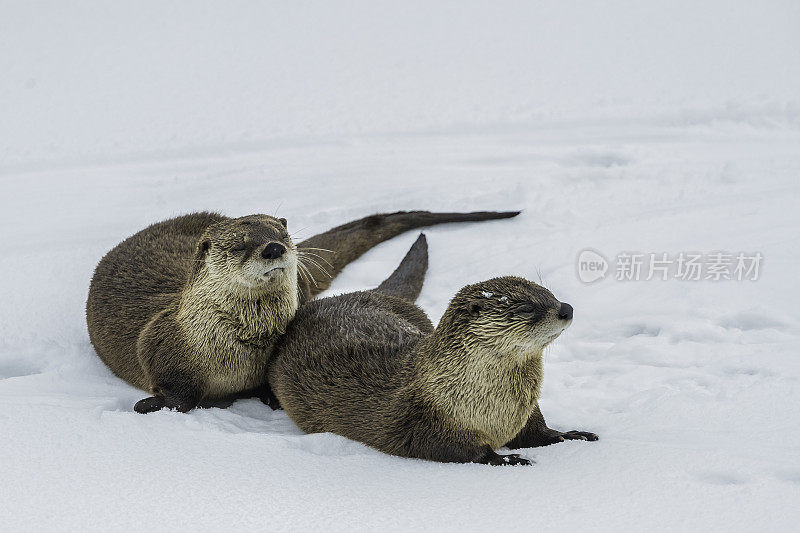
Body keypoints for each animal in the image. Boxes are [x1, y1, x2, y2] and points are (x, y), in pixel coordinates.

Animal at [87, 208, 520, 412]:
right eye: (240, 243)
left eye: (282, 232)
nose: (274, 247)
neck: (239, 347)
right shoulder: (160, 344)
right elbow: (177, 393)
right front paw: (150, 404)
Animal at [270, 235, 600, 464]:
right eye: (527, 308)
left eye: (550, 293)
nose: (566, 308)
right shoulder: (421, 420)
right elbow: (451, 448)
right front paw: (506, 458)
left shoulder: (525, 412)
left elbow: (538, 430)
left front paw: (570, 434)